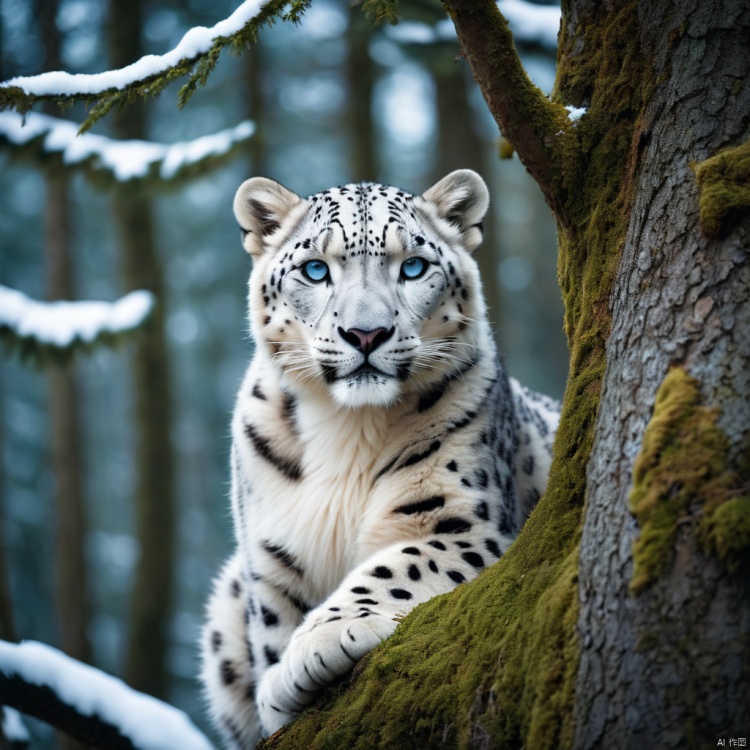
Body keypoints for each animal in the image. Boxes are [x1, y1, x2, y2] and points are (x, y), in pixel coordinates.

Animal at [198, 170, 560, 748]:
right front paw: (279, 685)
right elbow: (273, 623)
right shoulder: (270, 556)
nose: (365, 334)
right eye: (315, 268)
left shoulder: (464, 522)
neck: (348, 429)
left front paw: (316, 645)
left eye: (412, 266)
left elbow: (397, 566)